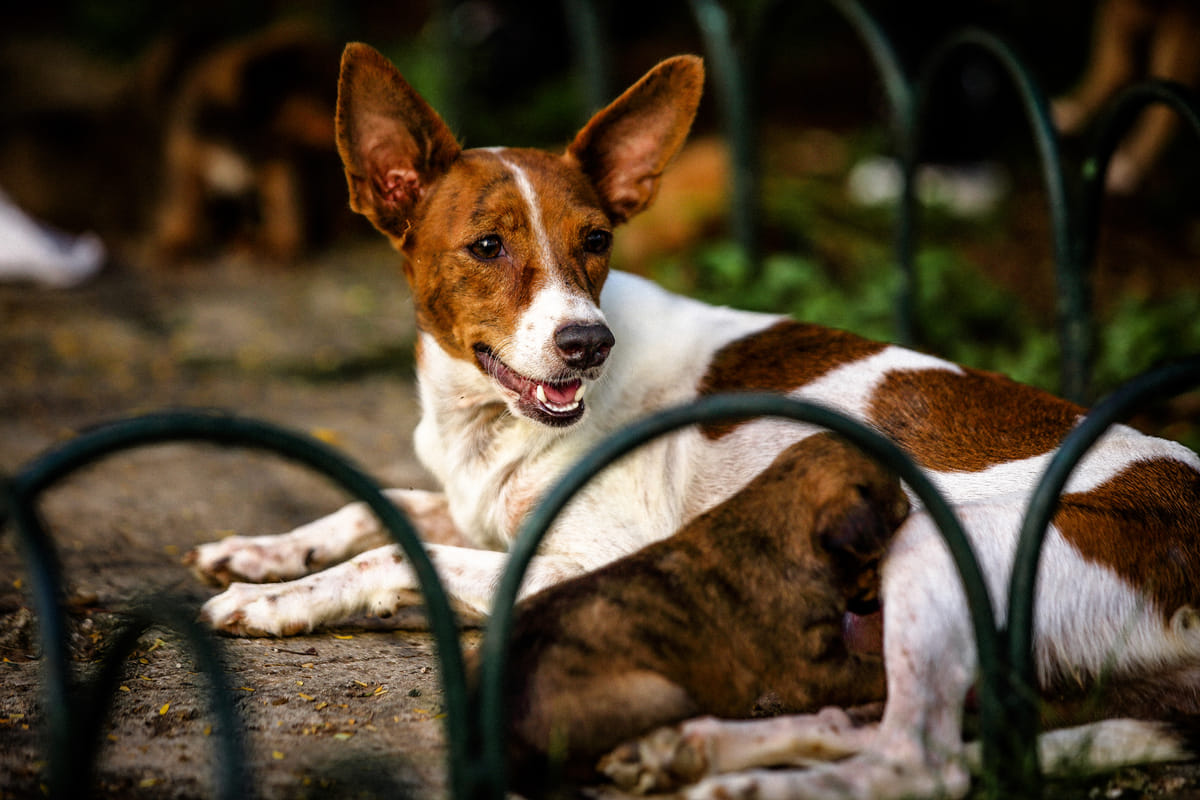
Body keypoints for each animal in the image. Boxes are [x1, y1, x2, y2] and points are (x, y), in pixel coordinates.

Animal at [498, 433, 906, 795]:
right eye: (900, 519)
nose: (877, 606)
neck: (775, 513)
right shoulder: (816, 671)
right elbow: (875, 671)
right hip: (665, 695)